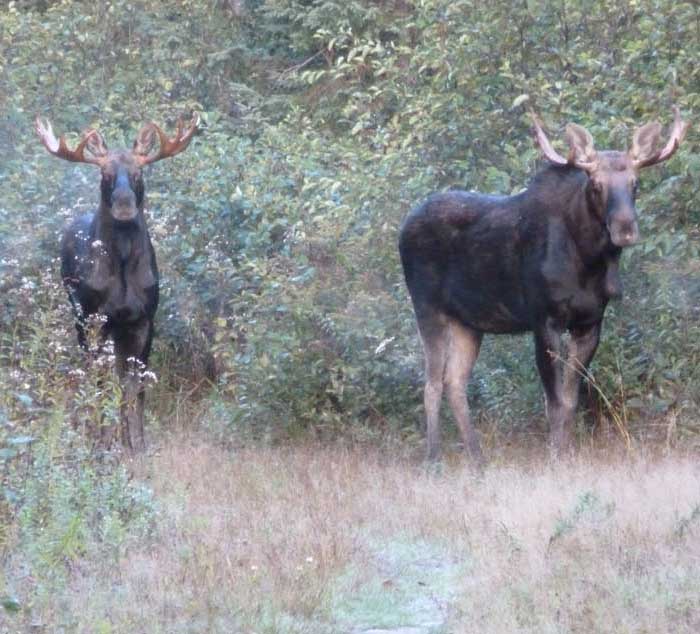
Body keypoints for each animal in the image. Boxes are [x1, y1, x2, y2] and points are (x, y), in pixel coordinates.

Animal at [36, 114, 199, 452]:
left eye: (138, 172)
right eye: (105, 173)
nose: (124, 205)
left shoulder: (144, 319)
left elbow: (134, 387)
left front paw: (136, 444)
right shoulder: (95, 319)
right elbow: (100, 383)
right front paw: (101, 443)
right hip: (80, 318)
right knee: (89, 373)